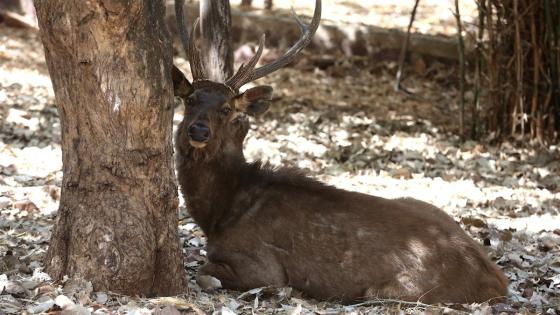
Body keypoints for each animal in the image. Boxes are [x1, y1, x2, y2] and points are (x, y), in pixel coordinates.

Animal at [173, 0, 510, 306]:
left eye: (226, 109)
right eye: (190, 99)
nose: (198, 131)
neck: (219, 213)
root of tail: (498, 280)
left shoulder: (259, 264)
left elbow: (205, 272)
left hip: (394, 290)